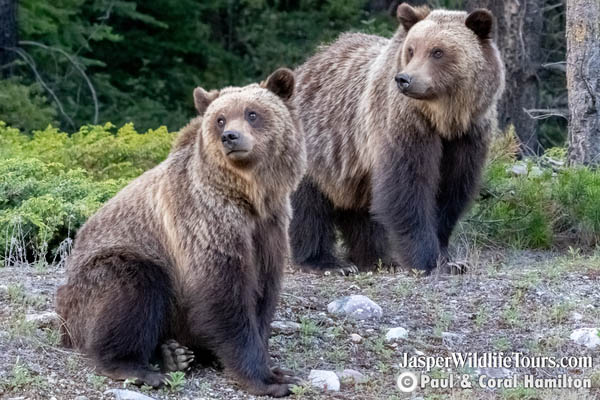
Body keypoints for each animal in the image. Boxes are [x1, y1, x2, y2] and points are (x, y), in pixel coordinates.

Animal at [55, 69, 304, 396]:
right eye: (220, 119)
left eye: (252, 113)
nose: (230, 137)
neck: (250, 196)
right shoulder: (207, 220)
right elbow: (224, 293)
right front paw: (268, 379)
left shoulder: (270, 228)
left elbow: (263, 293)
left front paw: (275, 368)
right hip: (99, 278)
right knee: (133, 287)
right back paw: (139, 368)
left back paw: (173, 354)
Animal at [288, 3, 504, 274]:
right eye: (411, 49)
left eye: (438, 51)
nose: (404, 79)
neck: (444, 119)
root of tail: (304, 67)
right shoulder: (403, 124)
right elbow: (408, 188)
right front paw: (426, 259)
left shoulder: (468, 136)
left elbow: (450, 191)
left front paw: (450, 259)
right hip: (319, 144)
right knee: (309, 206)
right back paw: (325, 261)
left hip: (352, 166)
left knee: (361, 209)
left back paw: (377, 257)